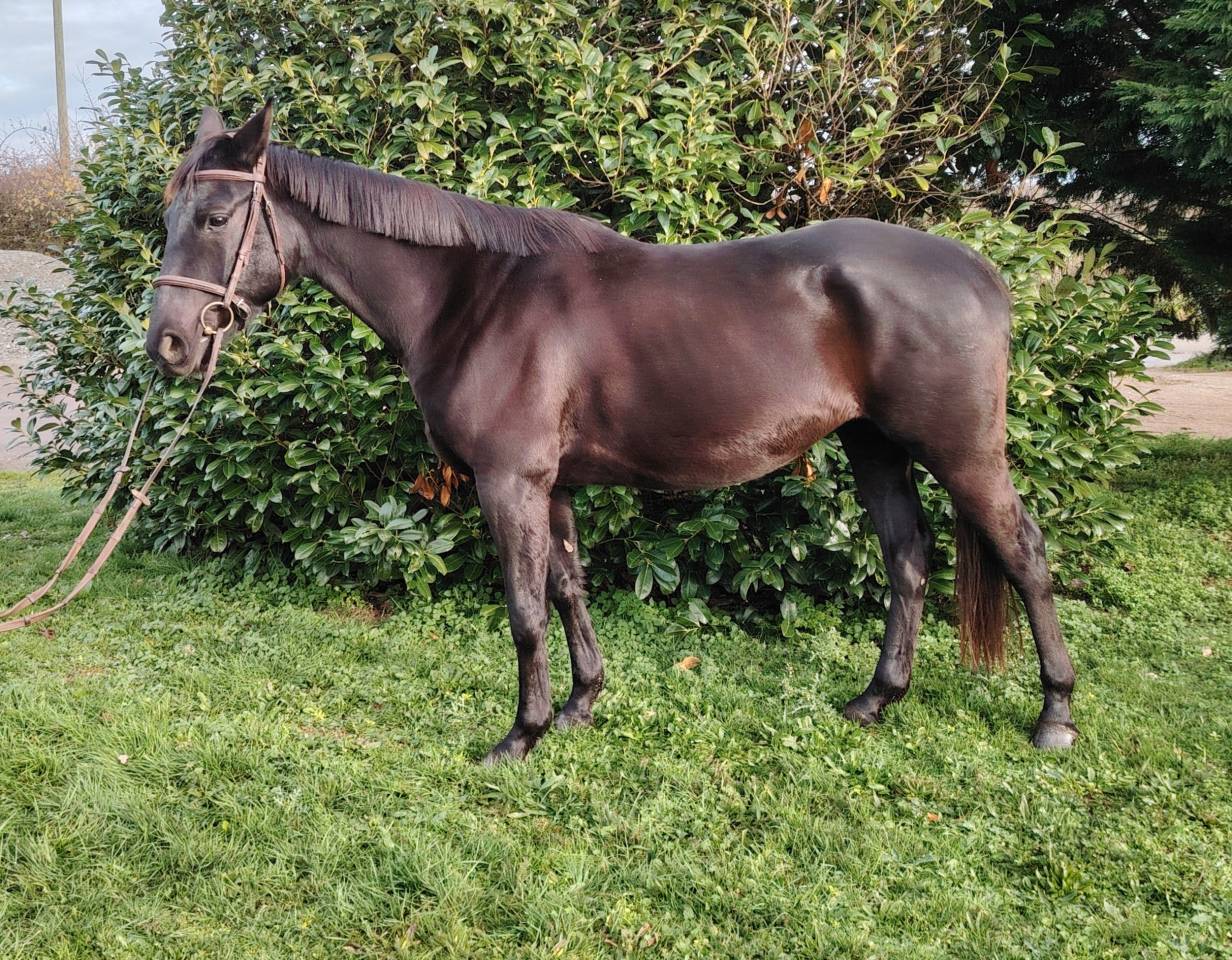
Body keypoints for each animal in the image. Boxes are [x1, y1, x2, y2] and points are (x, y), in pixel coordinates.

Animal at [147, 104, 1079, 763]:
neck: (472, 296)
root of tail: (981, 273)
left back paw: (1055, 715)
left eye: (218, 219)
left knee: (1025, 554)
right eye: (170, 218)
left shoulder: (510, 483)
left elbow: (525, 609)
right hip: (875, 447)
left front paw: (518, 736)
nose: (171, 345)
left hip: (961, 453)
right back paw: (875, 699)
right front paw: (579, 705)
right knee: (907, 560)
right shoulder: (551, 486)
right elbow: (568, 591)